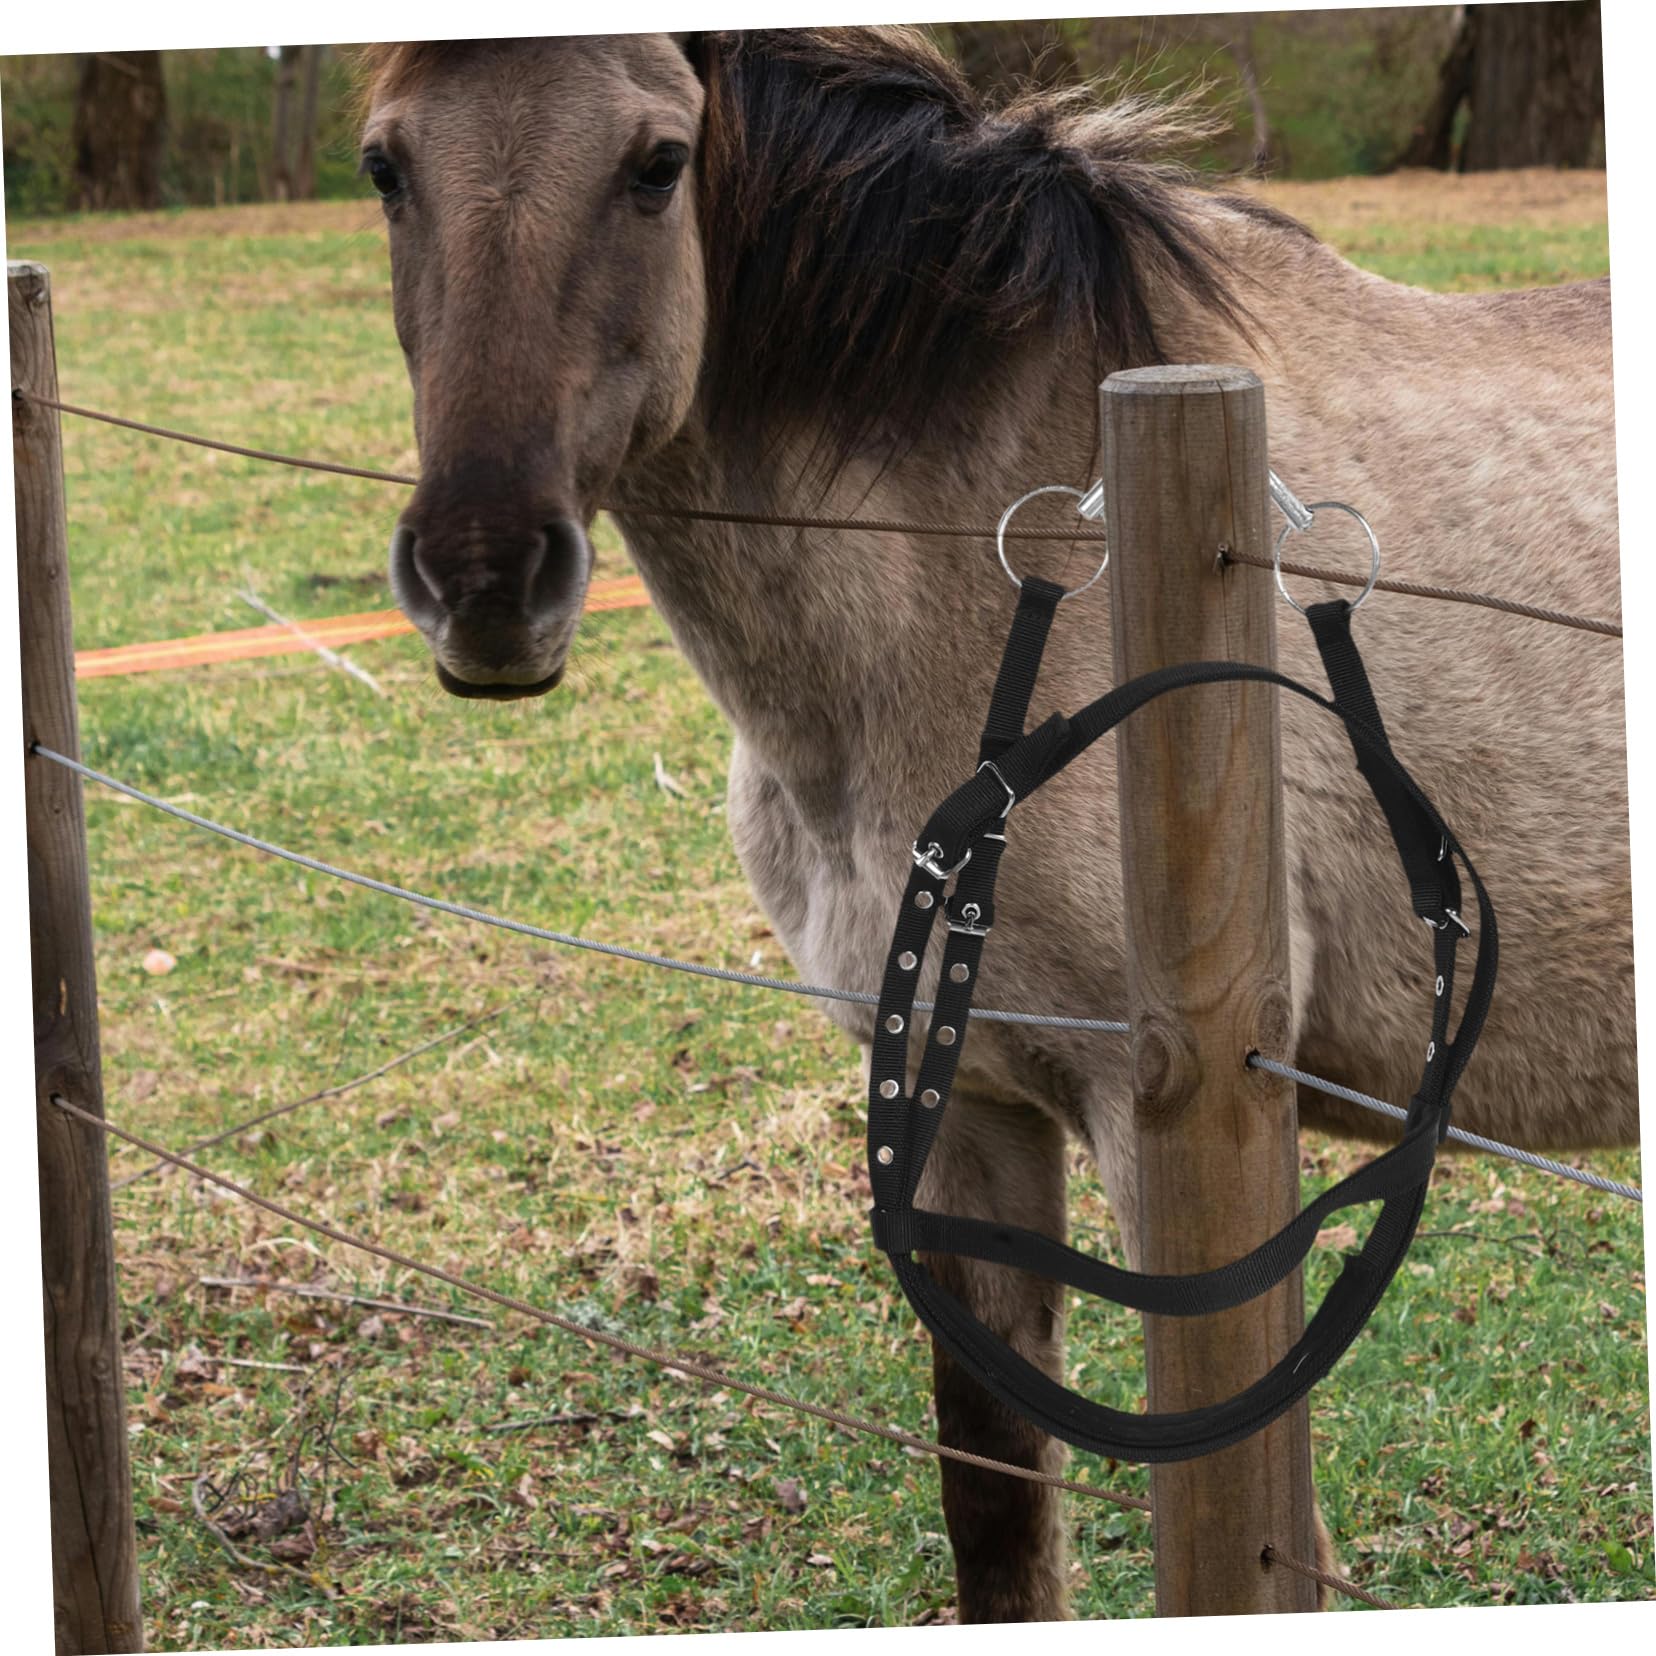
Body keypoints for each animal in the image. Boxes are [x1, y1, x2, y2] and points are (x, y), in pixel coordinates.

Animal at [356, 28, 1633, 1623]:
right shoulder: (963, 1111)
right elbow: (998, 1507)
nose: (482, 580)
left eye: (657, 163)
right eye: (384, 164)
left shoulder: (1177, 1136)